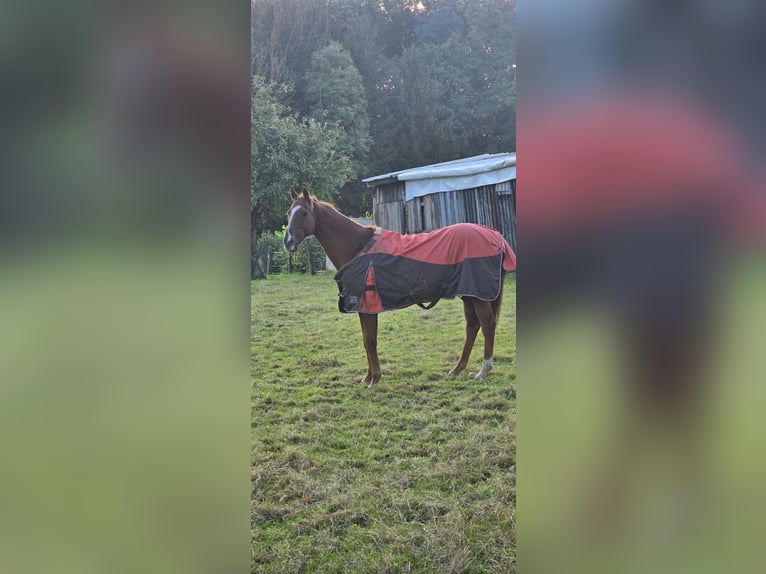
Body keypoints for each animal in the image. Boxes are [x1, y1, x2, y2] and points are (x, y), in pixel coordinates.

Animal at [282, 187, 516, 390]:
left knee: (487, 325)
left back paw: (483, 370)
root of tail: (495, 236)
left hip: (479, 296)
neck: (357, 247)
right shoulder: (363, 308)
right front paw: (367, 377)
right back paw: (456, 369)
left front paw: (374, 380)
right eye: (288, 213)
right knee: (472, 327)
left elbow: (370, 341)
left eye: (304, 213)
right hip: (469, 294)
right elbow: (366, 341)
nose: (288, 242)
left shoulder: (368, 307)